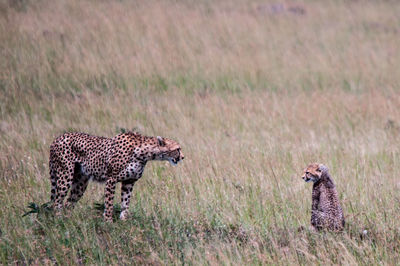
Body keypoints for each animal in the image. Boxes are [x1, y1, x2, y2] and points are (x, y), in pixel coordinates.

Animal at [48, 132, 184, 221]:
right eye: (177, 149)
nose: (183, 157)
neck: (144, 154)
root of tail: (58, 138)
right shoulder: (111, 180)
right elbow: (109, 203)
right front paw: (108, 221)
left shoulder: (129, 182)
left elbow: (125, 203)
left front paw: (123, 220)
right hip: (65, 175)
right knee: (57, 201)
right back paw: (59, 219)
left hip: (80, 183)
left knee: (68, 203)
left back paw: (68, 220)